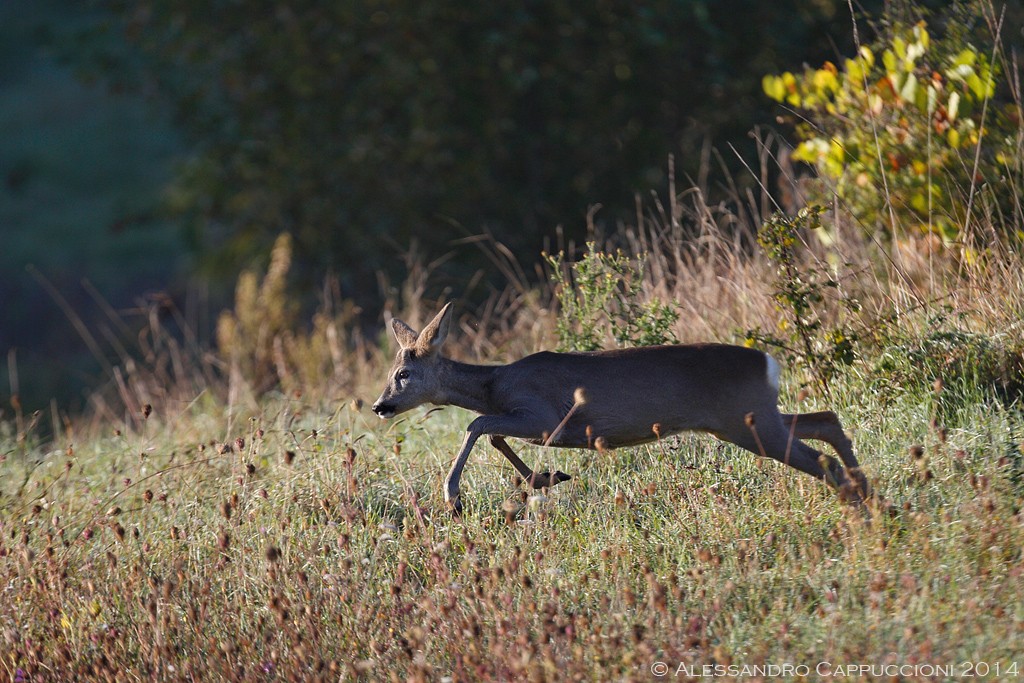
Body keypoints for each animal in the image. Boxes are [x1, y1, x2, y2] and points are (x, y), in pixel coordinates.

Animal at [372, 305, 868, 511]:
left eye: (404, 373)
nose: (380, 405)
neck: (496, 382)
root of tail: (768, 362)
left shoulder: (545, 416)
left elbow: (477, 424)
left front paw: (453, 496)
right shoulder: (534, 422)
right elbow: (492, 432)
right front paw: (546, 477)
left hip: (746, 422)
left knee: (821, 456)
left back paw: (860, 504)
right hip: (752, 417)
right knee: (825, 420)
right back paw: (869, 494)